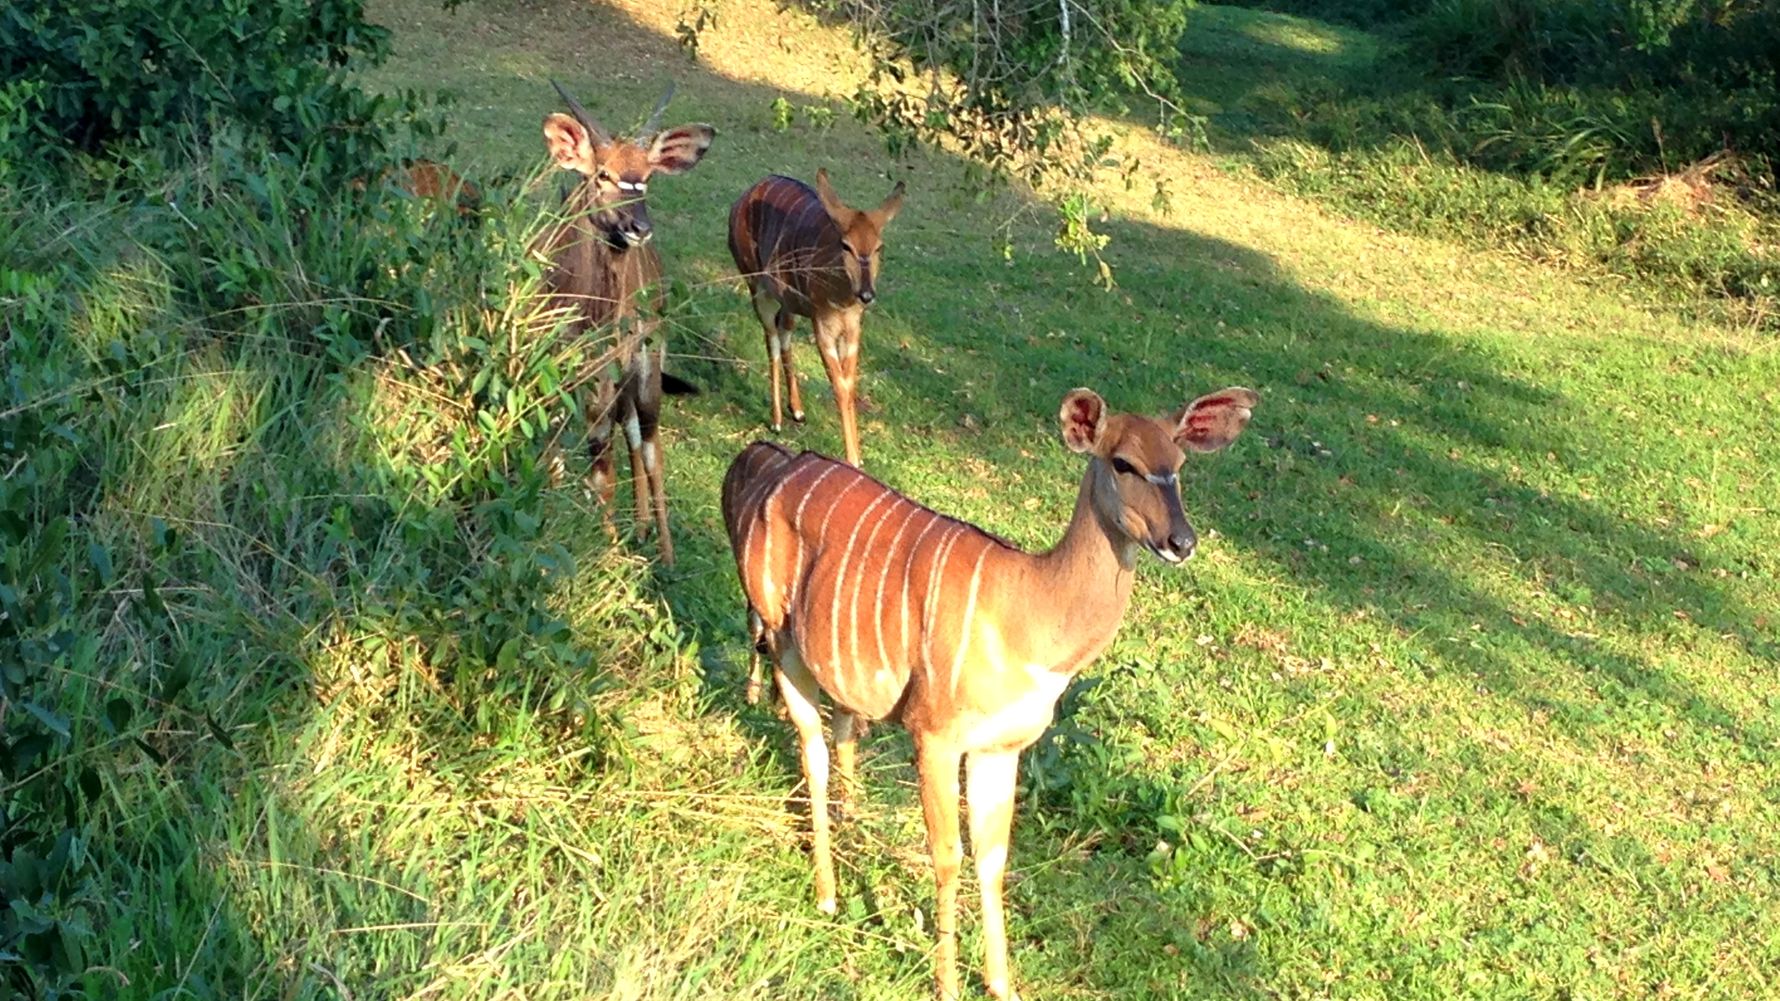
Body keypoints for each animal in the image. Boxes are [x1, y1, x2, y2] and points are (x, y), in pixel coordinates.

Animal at [539, 81, 713, 565]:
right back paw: (640, 527)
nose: (638, 227)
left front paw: (609, 549)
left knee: (649, 445)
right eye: (603, 175)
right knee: (631, 433)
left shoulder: (604, 377)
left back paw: (664, 551)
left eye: (647, 176)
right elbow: (555, 452)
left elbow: (602, 466)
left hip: (647, 367)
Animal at [721, 384, 1259, 1000]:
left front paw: (1002, 984)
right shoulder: (934, 735)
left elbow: (993, 857)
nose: (1181, 541)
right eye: (1123, 462)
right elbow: (947, 854)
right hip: (780, 634)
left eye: (1180, 463)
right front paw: (946, 984)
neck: (1028, 620)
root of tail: (762, 462)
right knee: (811, 749)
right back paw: (828, 895)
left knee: (841, 728)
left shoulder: (1002, 747)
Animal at [728, 169, 905, 468]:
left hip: (788, 301)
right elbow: (839, 386)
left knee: (783, 329)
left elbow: (849, 384)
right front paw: (852, 460)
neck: (843, 299)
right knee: (770, 335)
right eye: (846, 245)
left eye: (879, 247)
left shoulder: (852, 328)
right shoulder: (822, 325)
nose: (867, 294)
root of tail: (744, 196)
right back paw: (777, 420)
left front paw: (858, 457)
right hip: (756, 285)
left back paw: (798, 411)